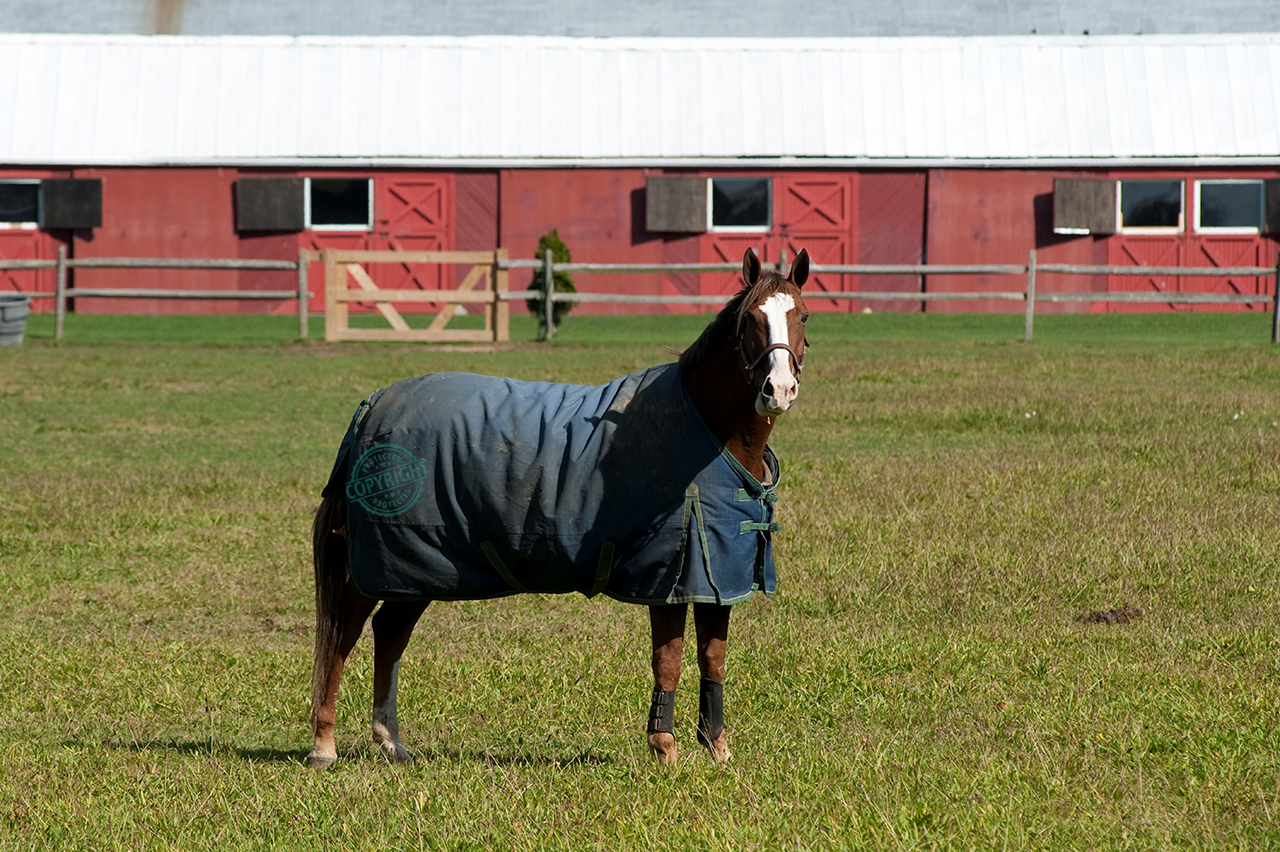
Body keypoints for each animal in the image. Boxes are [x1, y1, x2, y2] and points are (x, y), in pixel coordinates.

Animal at [307, 244, 808, 762]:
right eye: (750, 319)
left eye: (802, 316)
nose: (778, 390)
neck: (705, 431)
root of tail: (375, 404)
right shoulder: (667, 576)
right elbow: (667, 660)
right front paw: (664, 749)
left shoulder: (719, 575)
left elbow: (713, 659)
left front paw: (717, 749)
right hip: (378, 565)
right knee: (344, 633)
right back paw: (324, 744)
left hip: (415, 569)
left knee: (389, 633)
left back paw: (391, 743)